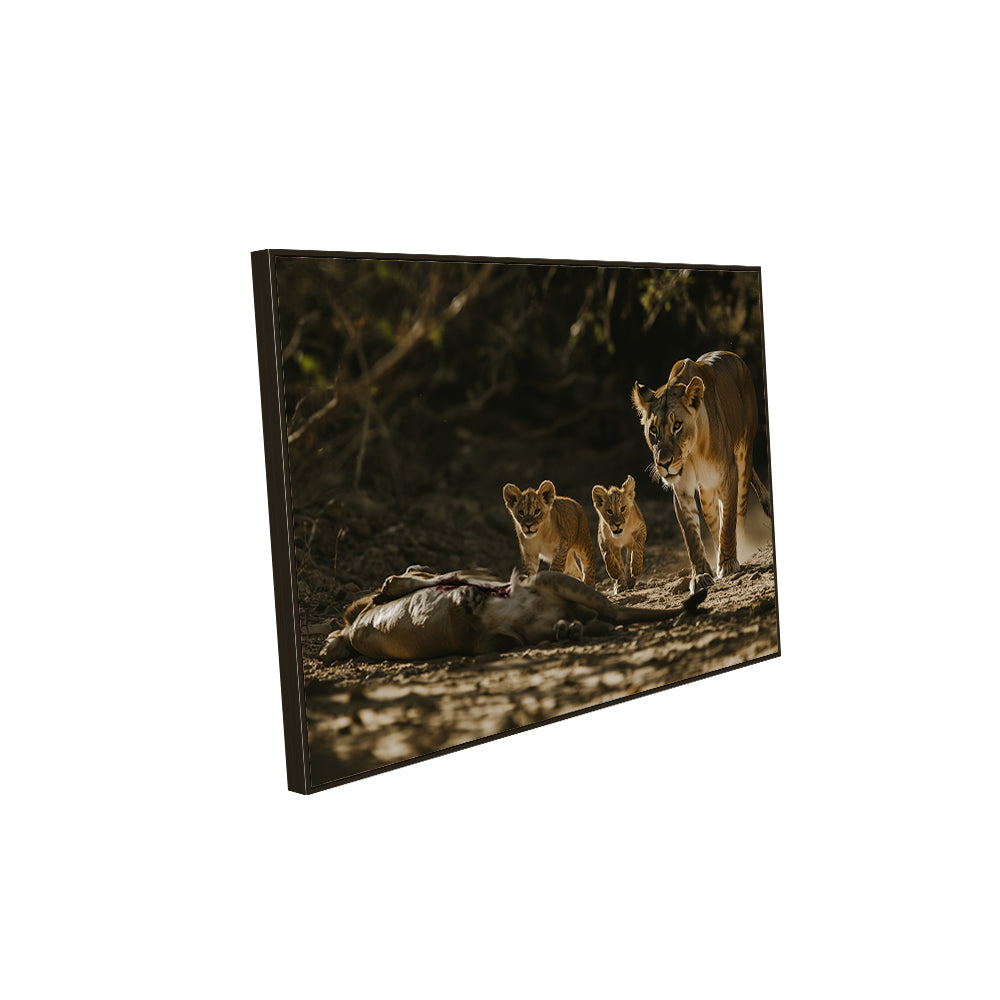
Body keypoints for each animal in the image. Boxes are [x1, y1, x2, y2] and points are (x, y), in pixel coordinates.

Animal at [632, 350, 772, 593]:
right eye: (653, 430)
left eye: (677, 425)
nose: (665, 463)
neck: (693, 451)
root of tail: (732, 354)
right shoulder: (682, 489)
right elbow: (692, 535)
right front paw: (701, 575)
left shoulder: (728, 475)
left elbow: (729, 521)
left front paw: (728, 563)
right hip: (706, 491)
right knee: (714, 520)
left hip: (744, 455)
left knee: (739, 512)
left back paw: (740, 550)